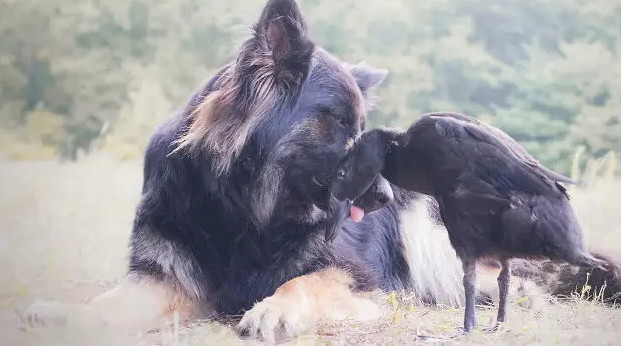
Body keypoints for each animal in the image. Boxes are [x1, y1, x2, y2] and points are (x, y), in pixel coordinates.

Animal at [24, 0, 620, 342]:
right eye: (339, 128)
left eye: (364, 131)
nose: (386, 195)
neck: (246, 216)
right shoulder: (166, 277)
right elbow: (108, 304)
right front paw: (63, 314)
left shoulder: (353, 272)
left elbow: (304, 282)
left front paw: (275, 309)